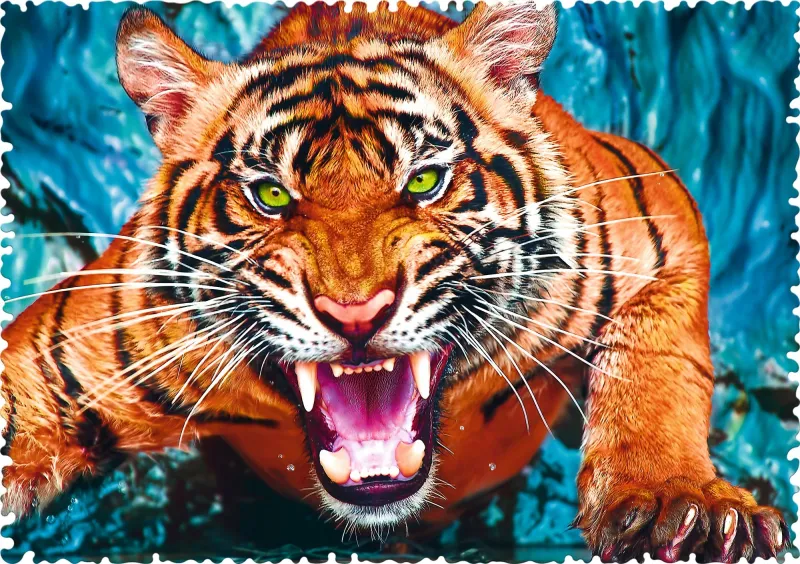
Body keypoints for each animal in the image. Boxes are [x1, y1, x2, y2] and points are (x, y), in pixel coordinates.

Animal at [1, 1, 789, 560]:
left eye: (424, 181)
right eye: (272, 196)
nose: (355, 314)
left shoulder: (655, 217)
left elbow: (654, 361)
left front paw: (676, 501)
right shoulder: (65, 354)